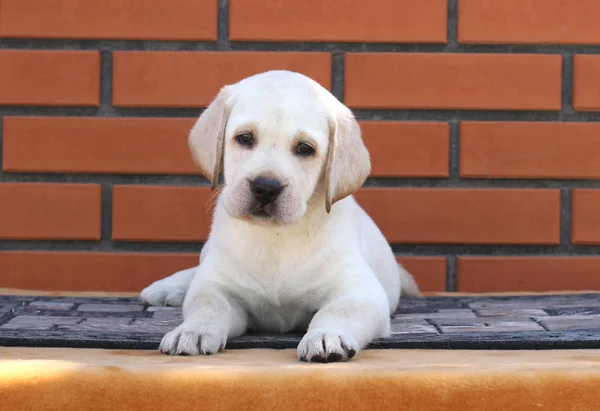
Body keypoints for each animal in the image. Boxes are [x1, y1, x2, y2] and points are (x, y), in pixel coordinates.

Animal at [138, 71, 420, 364]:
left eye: (305, 148)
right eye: (245, 138)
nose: (266, 187)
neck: (276, 237)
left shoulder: (360, 291)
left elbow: (337, 311)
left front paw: (326, 336)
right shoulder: (219, 287)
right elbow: (207, 303)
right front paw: (191, 331)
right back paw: (166, 288)